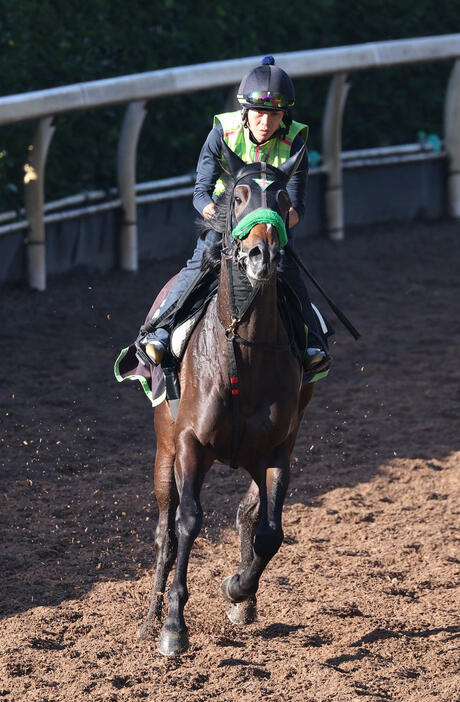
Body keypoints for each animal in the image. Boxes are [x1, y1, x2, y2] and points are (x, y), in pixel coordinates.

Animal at [140, 143, 316, 660]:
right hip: (163, 449)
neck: (244, 352)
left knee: (250, 514)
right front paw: (173, 626)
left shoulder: (277, 451)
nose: (263, 254)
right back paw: (150, 618)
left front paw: (238, 589)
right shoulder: (190, 445)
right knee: (165, 529)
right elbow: (187, 523)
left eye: (282, 198)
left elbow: (271, 532)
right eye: (237, 197)